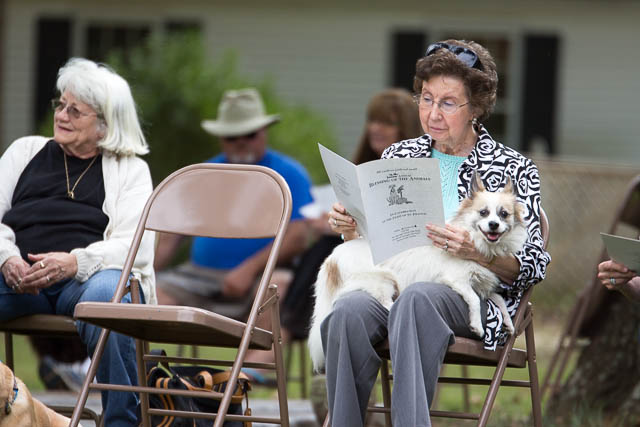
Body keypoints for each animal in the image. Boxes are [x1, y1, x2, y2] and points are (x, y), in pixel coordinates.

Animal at [308, 175, 524, 372]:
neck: (481, 246)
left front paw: (508, 323)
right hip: (383, 282)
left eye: (504, 214)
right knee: (386, 303)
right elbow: (473, 299)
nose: (494, 224)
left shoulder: (482, 286)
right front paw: (477, 325)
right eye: (483, 213)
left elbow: (499, 299)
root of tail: (331, 260)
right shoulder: (457, 280)